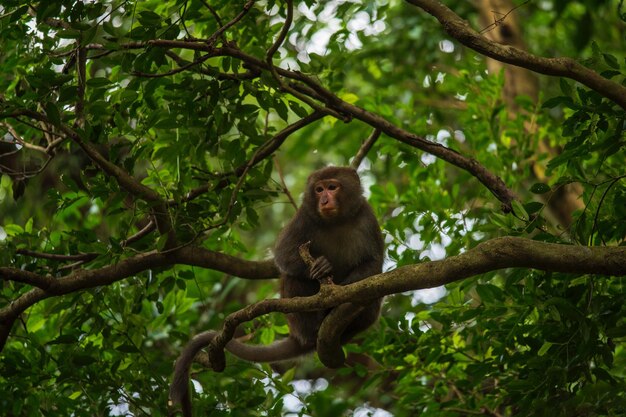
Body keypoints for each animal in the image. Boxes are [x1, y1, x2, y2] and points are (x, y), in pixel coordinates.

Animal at [171, 167, 386, 416]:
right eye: (319, 189)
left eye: (332, 187)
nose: (324, 200)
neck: (337, 220)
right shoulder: (304, 216)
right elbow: (283, 254)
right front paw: (321, 267)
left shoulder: (366, 216)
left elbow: (373, 266)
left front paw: (340, 287)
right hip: (296, 321)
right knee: (292, 278)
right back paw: (313, 326)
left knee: (373, 294)